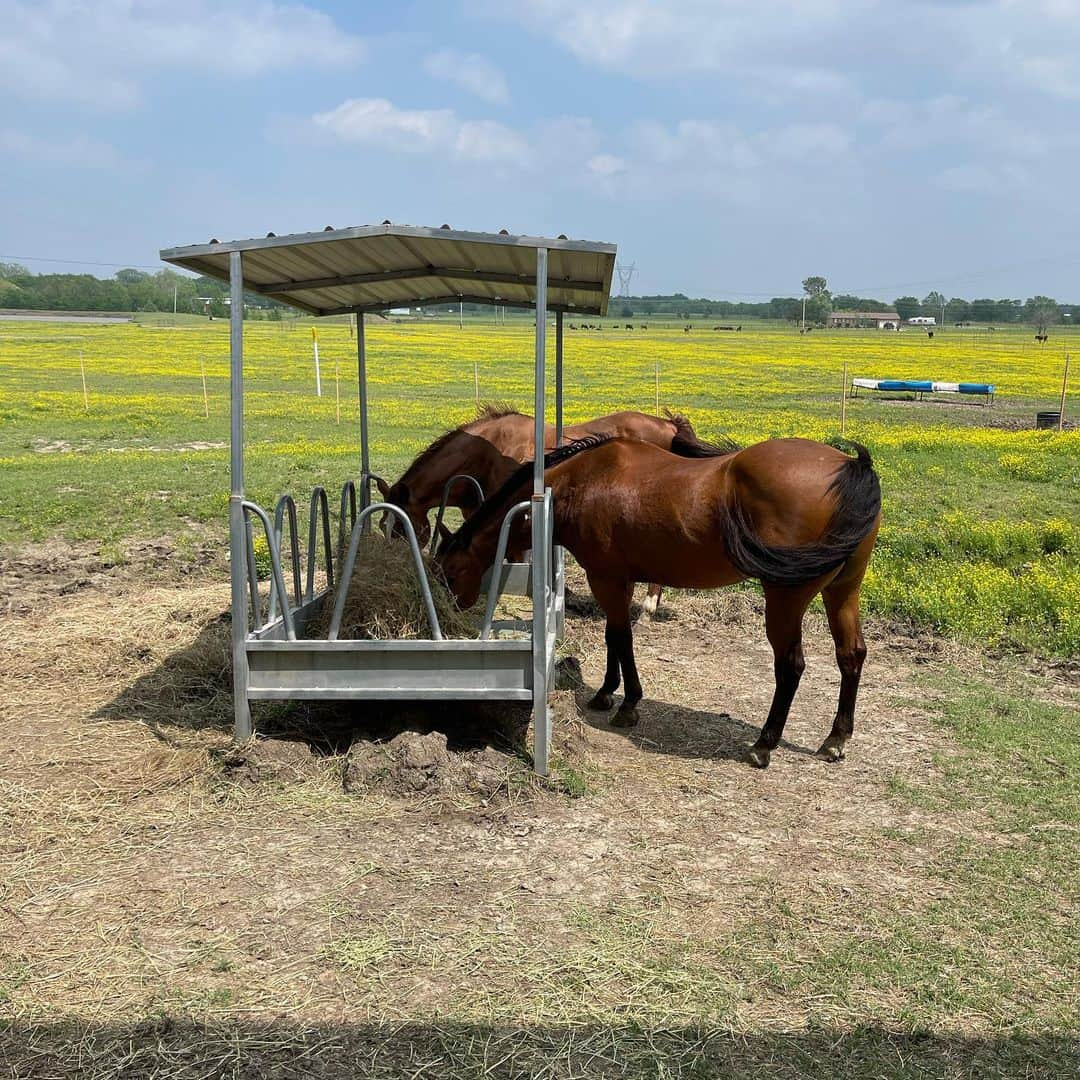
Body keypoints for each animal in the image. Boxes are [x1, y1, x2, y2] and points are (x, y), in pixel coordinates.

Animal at [434, 432, 881, 768]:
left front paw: (628, 702)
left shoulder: (606, 578)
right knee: (850, 655)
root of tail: (851, 467)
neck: (581, 481)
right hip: (842, 591)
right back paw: (836, 739)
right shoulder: (619, 580)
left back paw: (763, 744)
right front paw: (605, 693)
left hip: (785, 600)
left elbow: (621, 638)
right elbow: (614, 638)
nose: (451, 609)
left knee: (791, 666)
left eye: (449, 572)